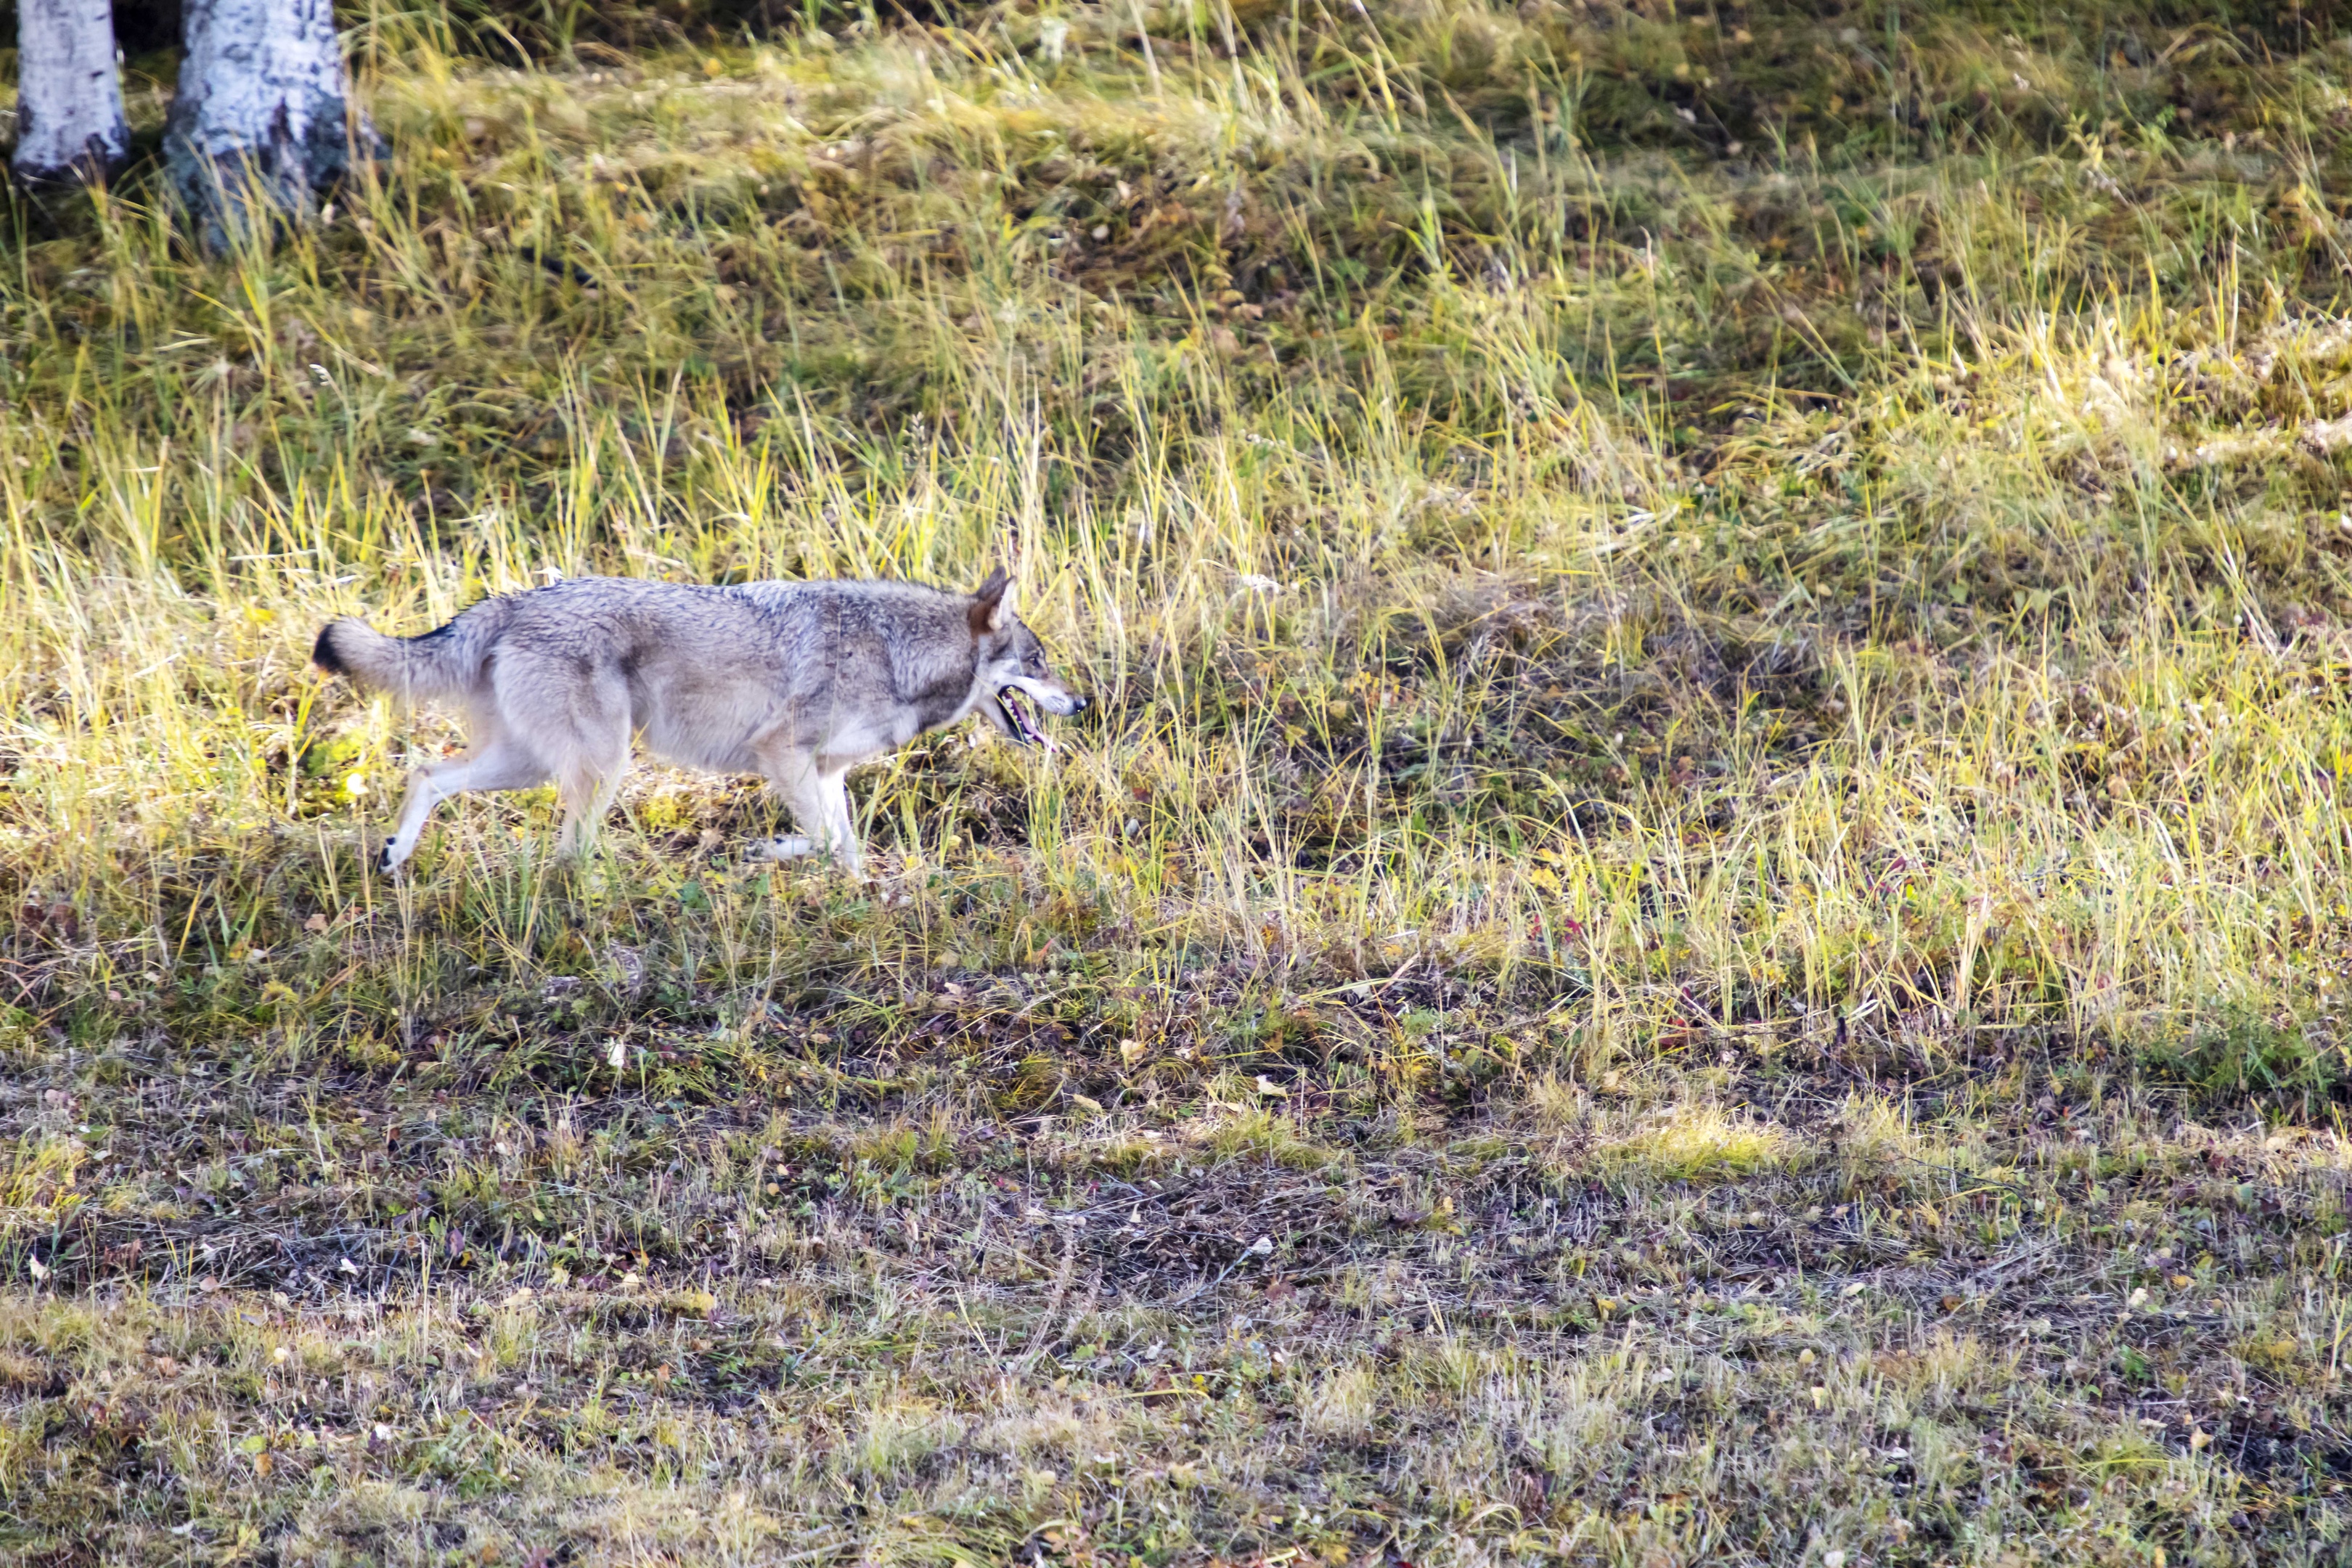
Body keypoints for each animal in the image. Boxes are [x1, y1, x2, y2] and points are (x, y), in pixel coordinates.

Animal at [308, 571, 1086, 879]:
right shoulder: (782, 755)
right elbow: (821, 841)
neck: (896, 650)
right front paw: (766, 853)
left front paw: (869, 897)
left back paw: (393, 856)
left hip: (532, 765)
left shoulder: (825, 772)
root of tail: (512, 602)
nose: (1081, 705)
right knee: (567, 854)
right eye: (1040, 664)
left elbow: (846, 847)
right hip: (600, 768)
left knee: (427, 773)